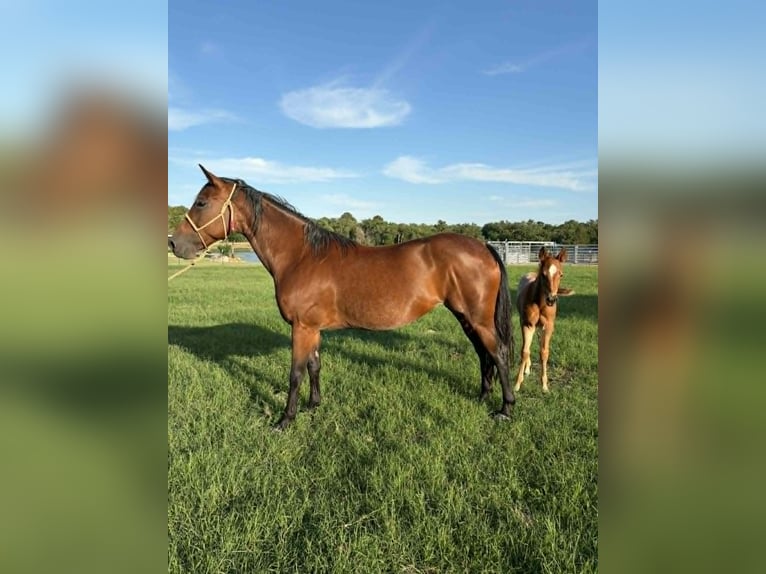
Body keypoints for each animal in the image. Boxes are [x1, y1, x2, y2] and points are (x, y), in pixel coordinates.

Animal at [169, 165, 516, 430]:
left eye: (202, 202)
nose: (174, 244)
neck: (302, 256)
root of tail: (483, 246)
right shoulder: (312, 329)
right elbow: (314, 366)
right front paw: (313, 405)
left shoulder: (301, 328)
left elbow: (295, 374)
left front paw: (285, 420)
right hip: (465, 316)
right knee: (483, 354)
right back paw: (483, 397)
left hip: (478, 318)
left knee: (497, 353)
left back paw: (505, 409)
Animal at [514, 246, 574, 393]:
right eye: (543, 274)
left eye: (561, 275)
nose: (551, 299)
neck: (540, 304)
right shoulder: (527, 324)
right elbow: (525, 351)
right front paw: (517, 384)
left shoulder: (548, 327)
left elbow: (544, 352)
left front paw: (544, 386)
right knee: (528, 347)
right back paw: (527, 369)